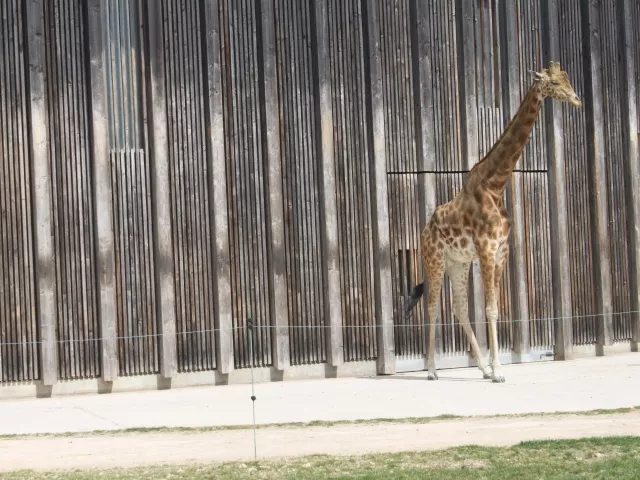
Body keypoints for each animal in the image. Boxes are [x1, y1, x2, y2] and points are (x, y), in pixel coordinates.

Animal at [408, 62, 584, 382]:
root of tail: (424, 229)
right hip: (434, 259)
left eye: (566, 79)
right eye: (553, 83)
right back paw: (432, 371)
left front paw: (492, 368)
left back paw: (480, 368)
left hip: (458, 263)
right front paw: (500, 371)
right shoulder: (487, 249)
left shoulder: (501, 252)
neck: (496, 185)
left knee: (459, 308)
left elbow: (494, 309)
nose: (577, 100)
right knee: (432, 307)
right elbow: (489, 309)